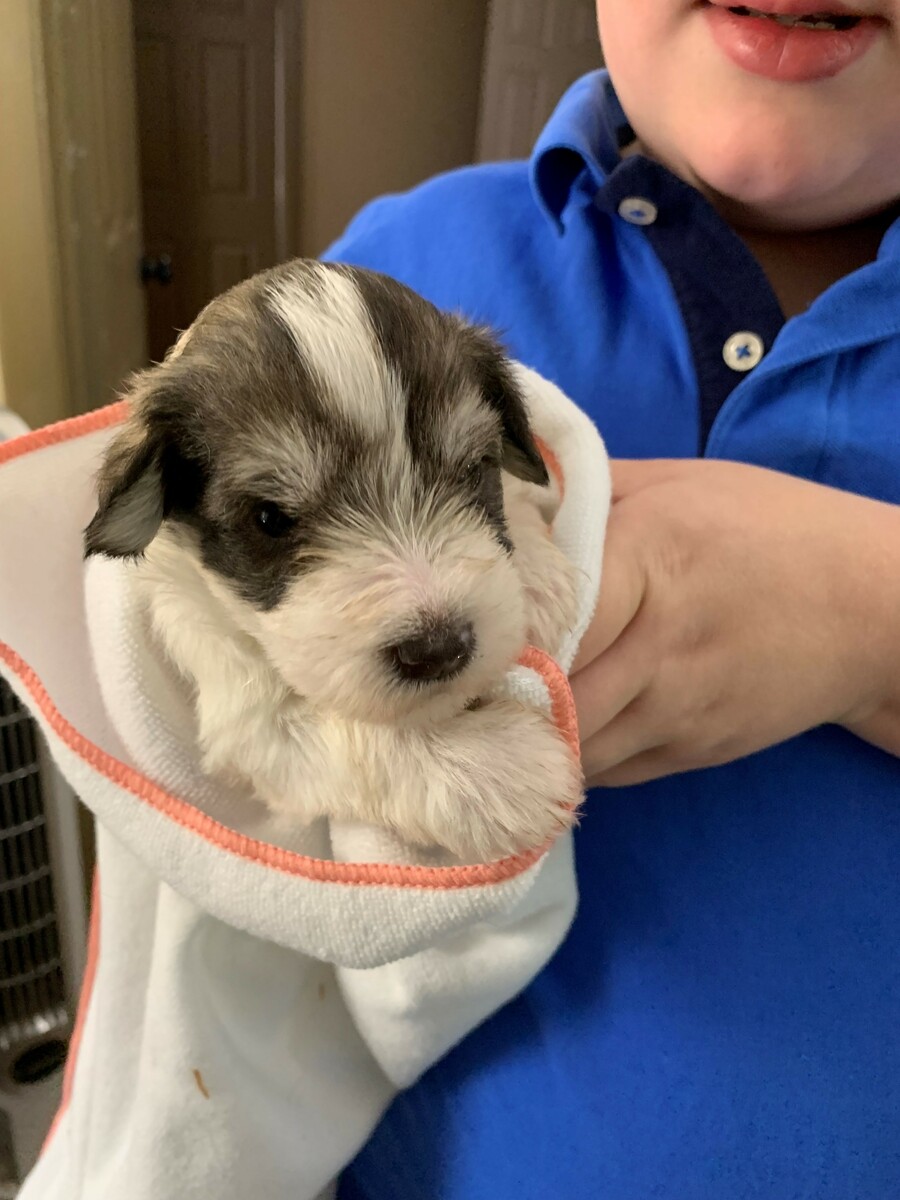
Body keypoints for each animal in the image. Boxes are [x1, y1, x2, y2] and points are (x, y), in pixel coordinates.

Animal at [84, 261, 582, 861]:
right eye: (270, 518)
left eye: (472, 470)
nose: (439, 649)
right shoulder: (249, 722)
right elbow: (357, 741)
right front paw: (490, 768)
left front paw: (536, 576)